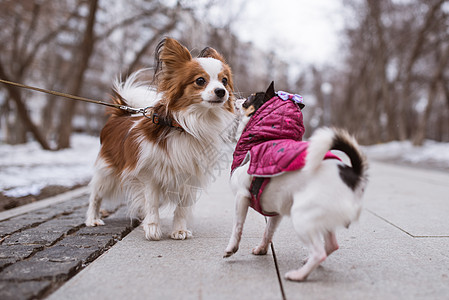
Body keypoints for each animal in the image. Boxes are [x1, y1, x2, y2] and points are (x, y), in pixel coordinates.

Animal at [85, 37, 236, 240]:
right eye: (200, 81)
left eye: (224, 81)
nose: (221, 91)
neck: (186, 126)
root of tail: (121, 114)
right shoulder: (149, 175)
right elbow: (152, 203)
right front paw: (152, 228)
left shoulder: (188, 176)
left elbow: (181, 208)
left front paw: (179, 230)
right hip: (107, 173)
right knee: (96, 194)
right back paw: (92, 219)